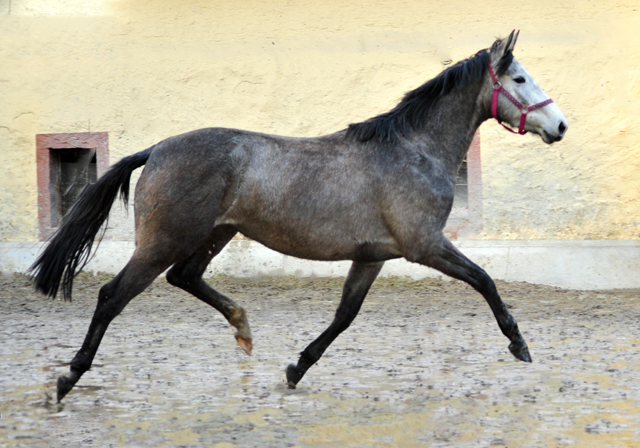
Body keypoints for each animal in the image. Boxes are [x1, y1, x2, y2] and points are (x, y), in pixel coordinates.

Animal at [32, 31, 568, 402]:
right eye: (519, 79)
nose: (560, 125)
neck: (413, 150)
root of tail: (156, 149)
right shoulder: (425, 246)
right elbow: (485, 280)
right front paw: (519, 345)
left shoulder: (373, 256)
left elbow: (344, 316)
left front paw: (296, 369)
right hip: (167, 239)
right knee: (112, 295)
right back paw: (67, 378)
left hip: (215, 234)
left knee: (184, 278)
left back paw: (243, 328)